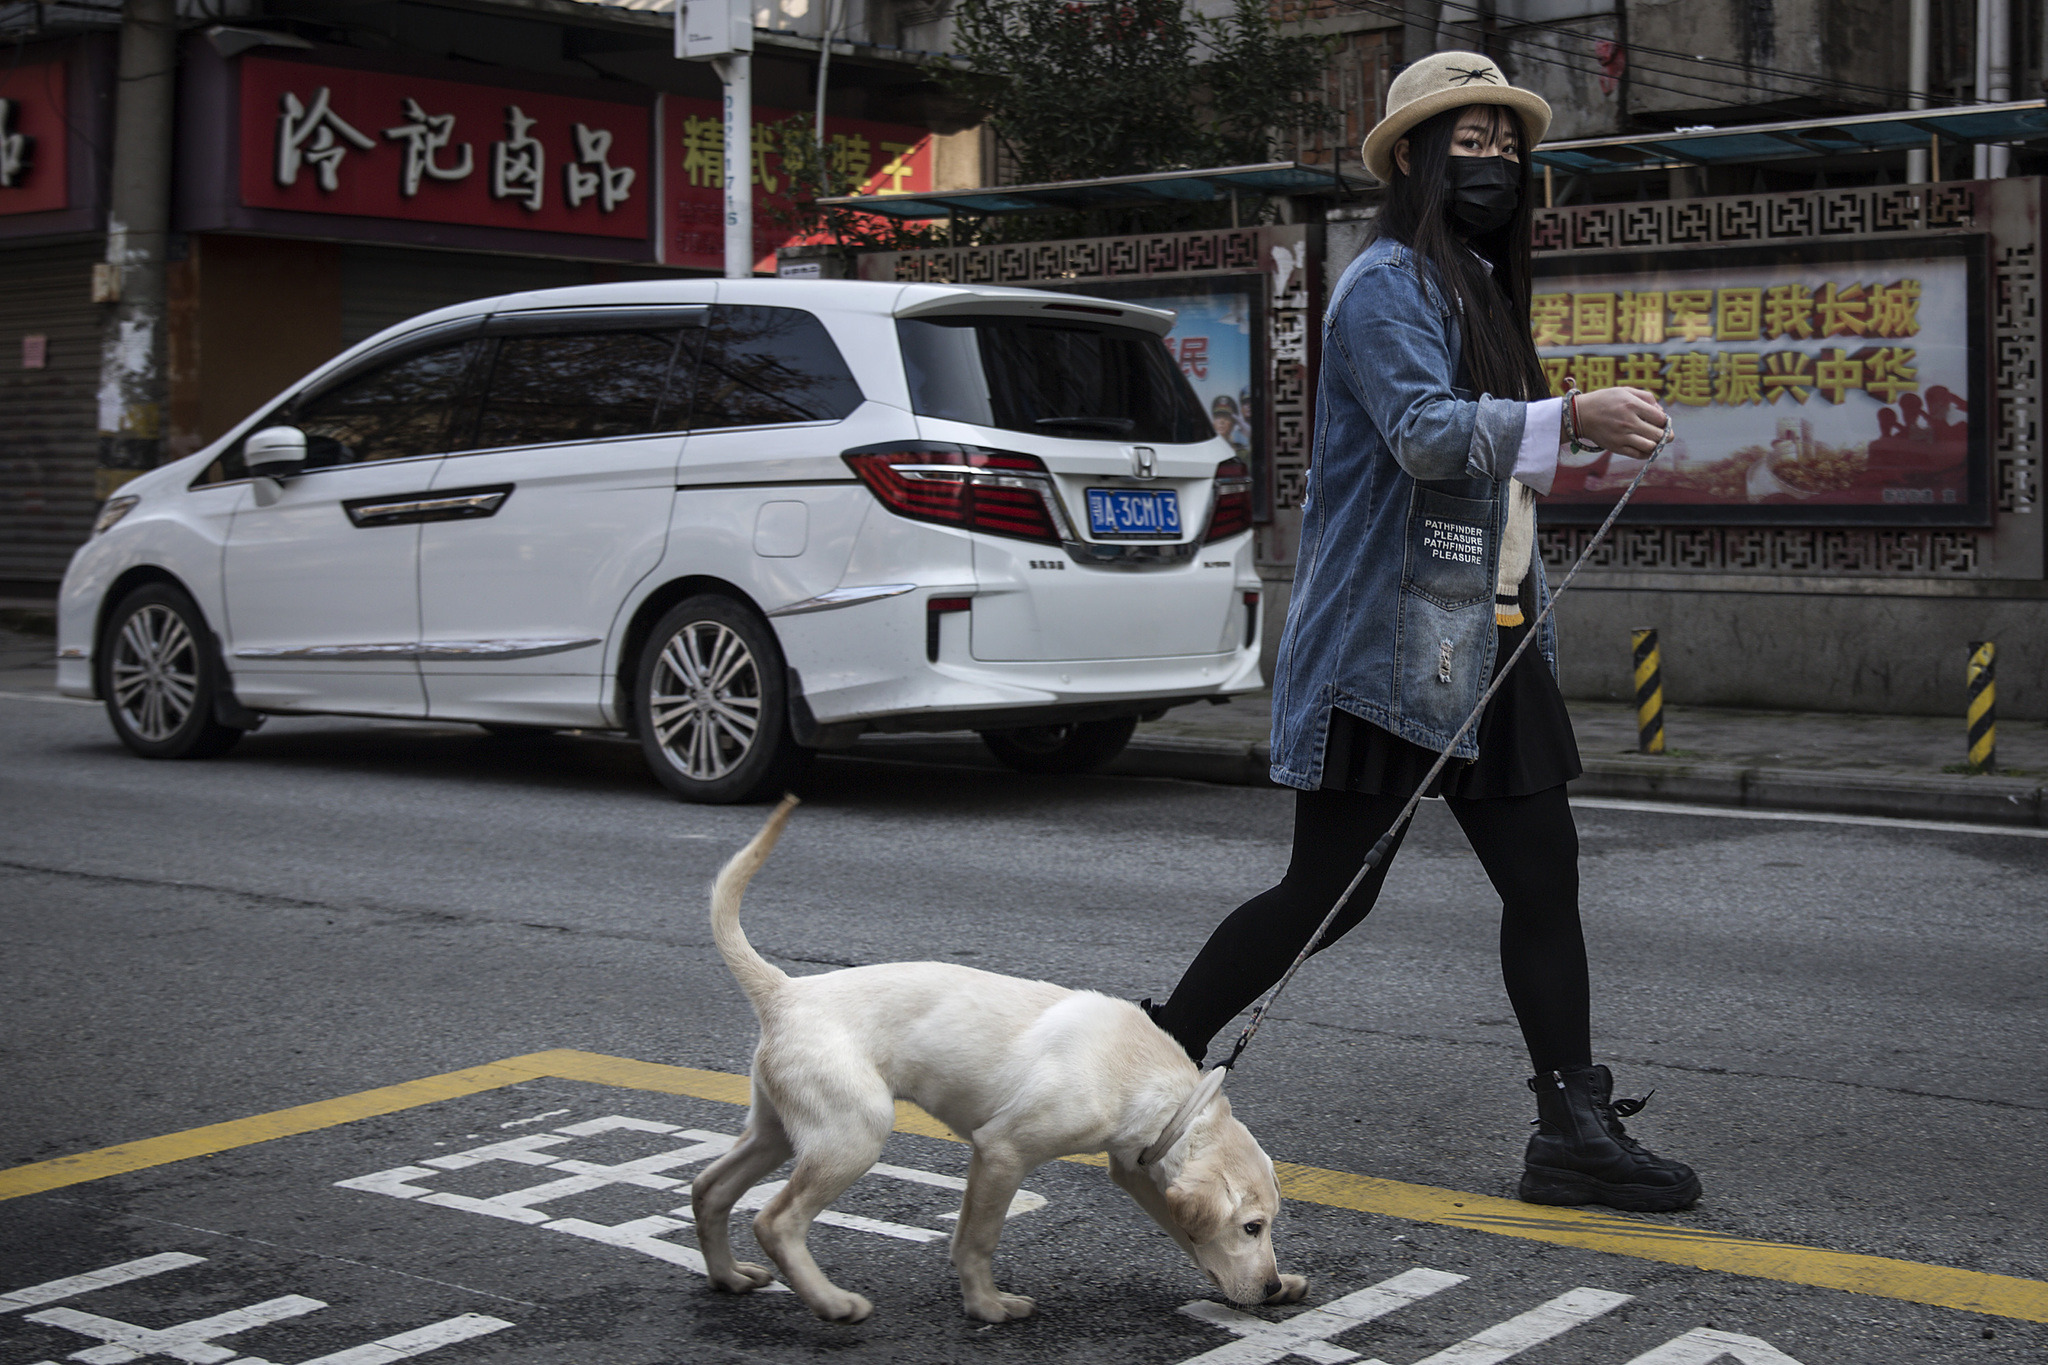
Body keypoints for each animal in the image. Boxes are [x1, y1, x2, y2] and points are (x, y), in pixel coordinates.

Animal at [679, 802, 1302, 1326]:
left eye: (1268, 1225)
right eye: (1251, 1226)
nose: (1270, 1288)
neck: (1161, 1091)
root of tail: (786, 991)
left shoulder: (1137, 1168)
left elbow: (1185, 1233)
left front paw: (1274, 1284)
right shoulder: (1002, 1150)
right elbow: (976, 1239)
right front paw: (986, 1305)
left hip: (783, 1128)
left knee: (709, 1187)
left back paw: (729, 1277)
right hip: (852, 1132)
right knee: (775, 1220)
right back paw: (832, 1302)